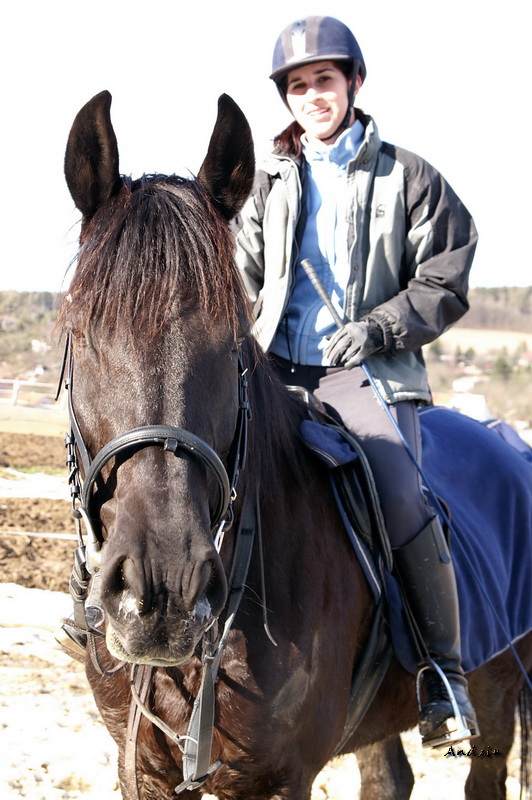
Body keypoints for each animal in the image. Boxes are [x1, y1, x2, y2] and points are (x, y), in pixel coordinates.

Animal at [58, 89, 532, 800]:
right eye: (82, 332)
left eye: (233, 341)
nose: (163, 591)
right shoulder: (141, 770)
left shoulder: (280, 776)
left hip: (497, 693)